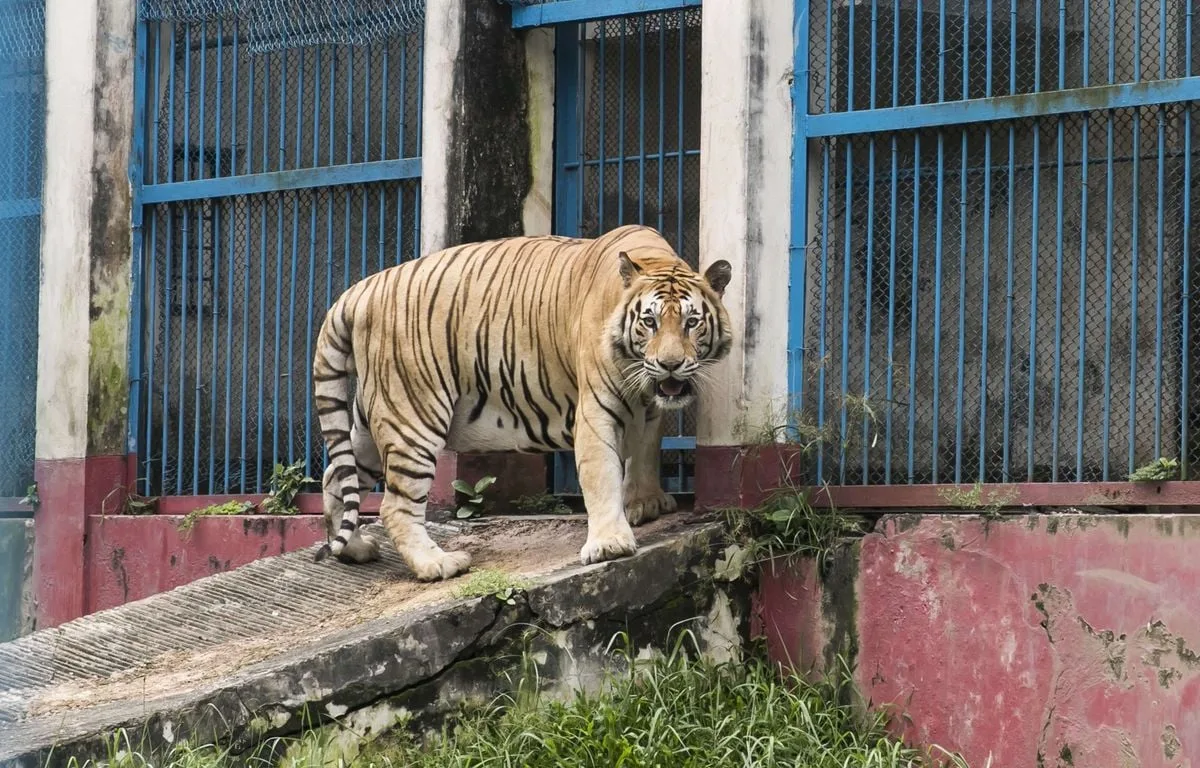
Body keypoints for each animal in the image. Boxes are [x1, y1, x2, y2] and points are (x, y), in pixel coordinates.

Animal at [312, 224, 733, 581]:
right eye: (649, 322)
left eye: (692, 323)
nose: (670, 364)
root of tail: (361, 290)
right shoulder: (597, 408)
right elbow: (601, 473)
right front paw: (610, 543)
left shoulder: (650, 406)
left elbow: (644, 451)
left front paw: (645, 503)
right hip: (414, 415)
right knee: (394, 506)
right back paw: (437, 564)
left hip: (375, 418)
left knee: (337, 475)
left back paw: (355, 549)